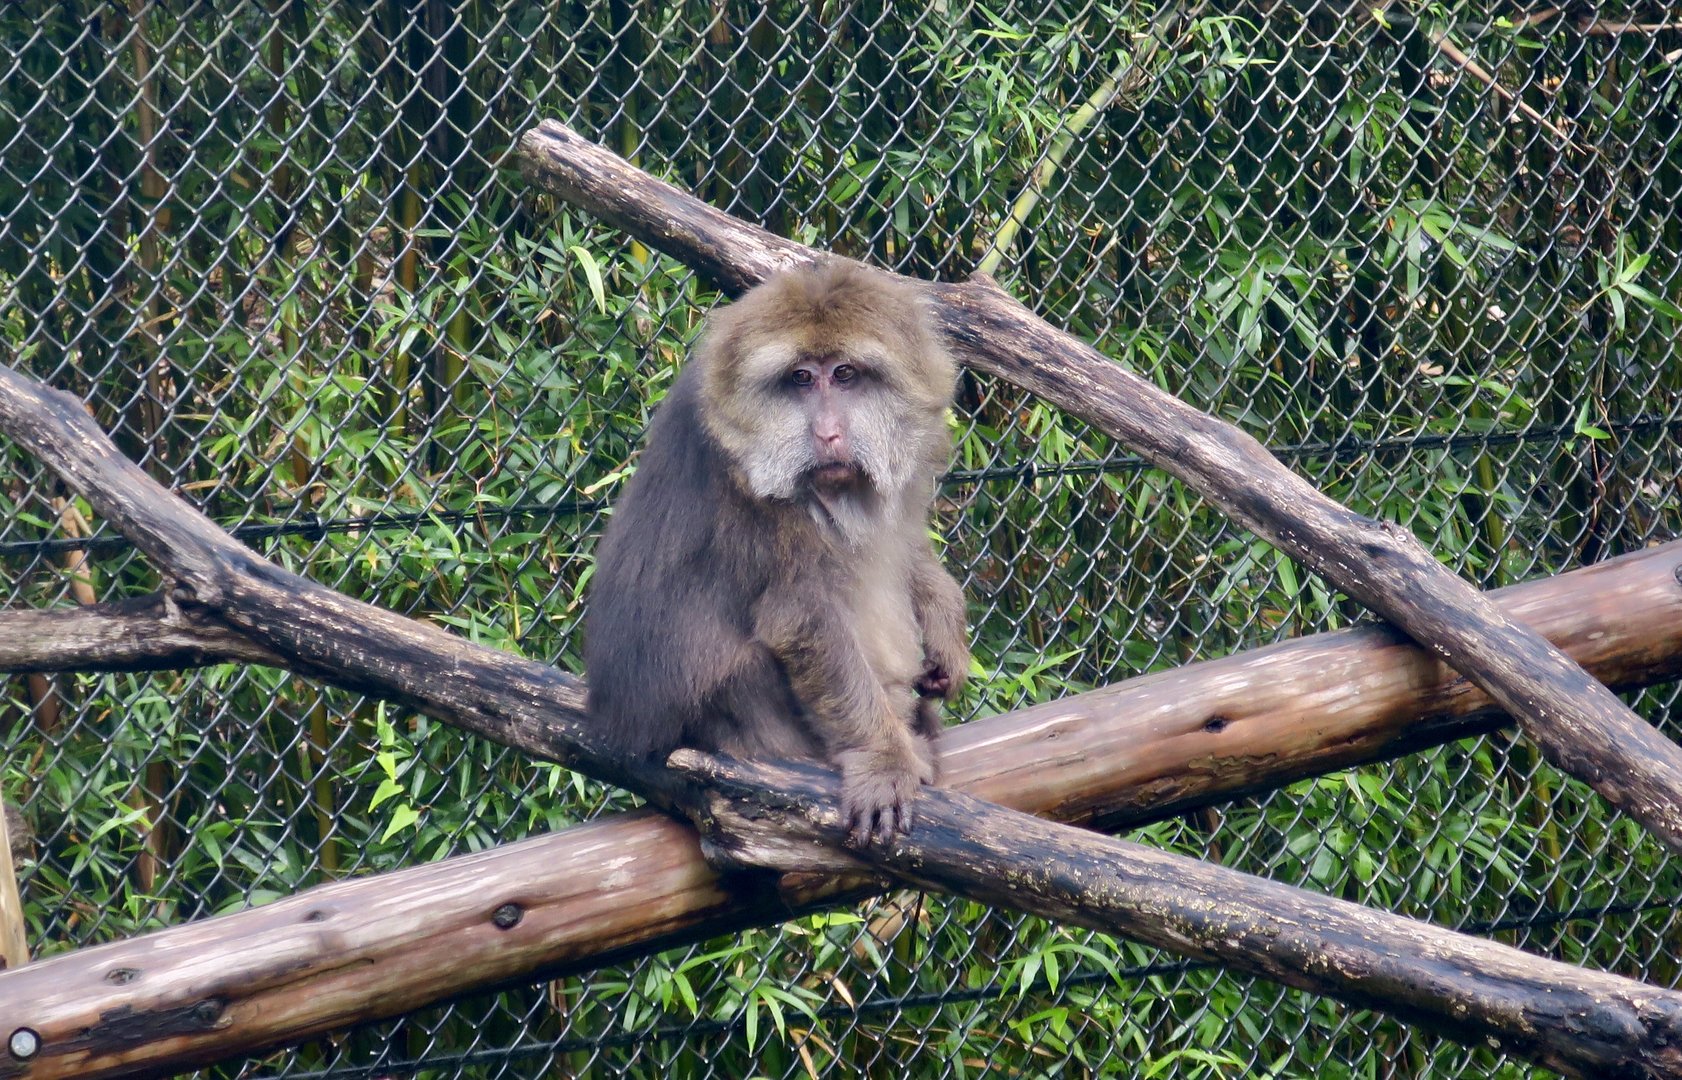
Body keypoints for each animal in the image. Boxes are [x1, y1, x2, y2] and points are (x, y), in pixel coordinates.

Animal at [584, 262, 970, 846]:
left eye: (845, 375)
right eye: (800, 379)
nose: (828, 433)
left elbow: (903, 546)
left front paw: (945, 622)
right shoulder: (754, 499)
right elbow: (803, 621)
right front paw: (880, 758)